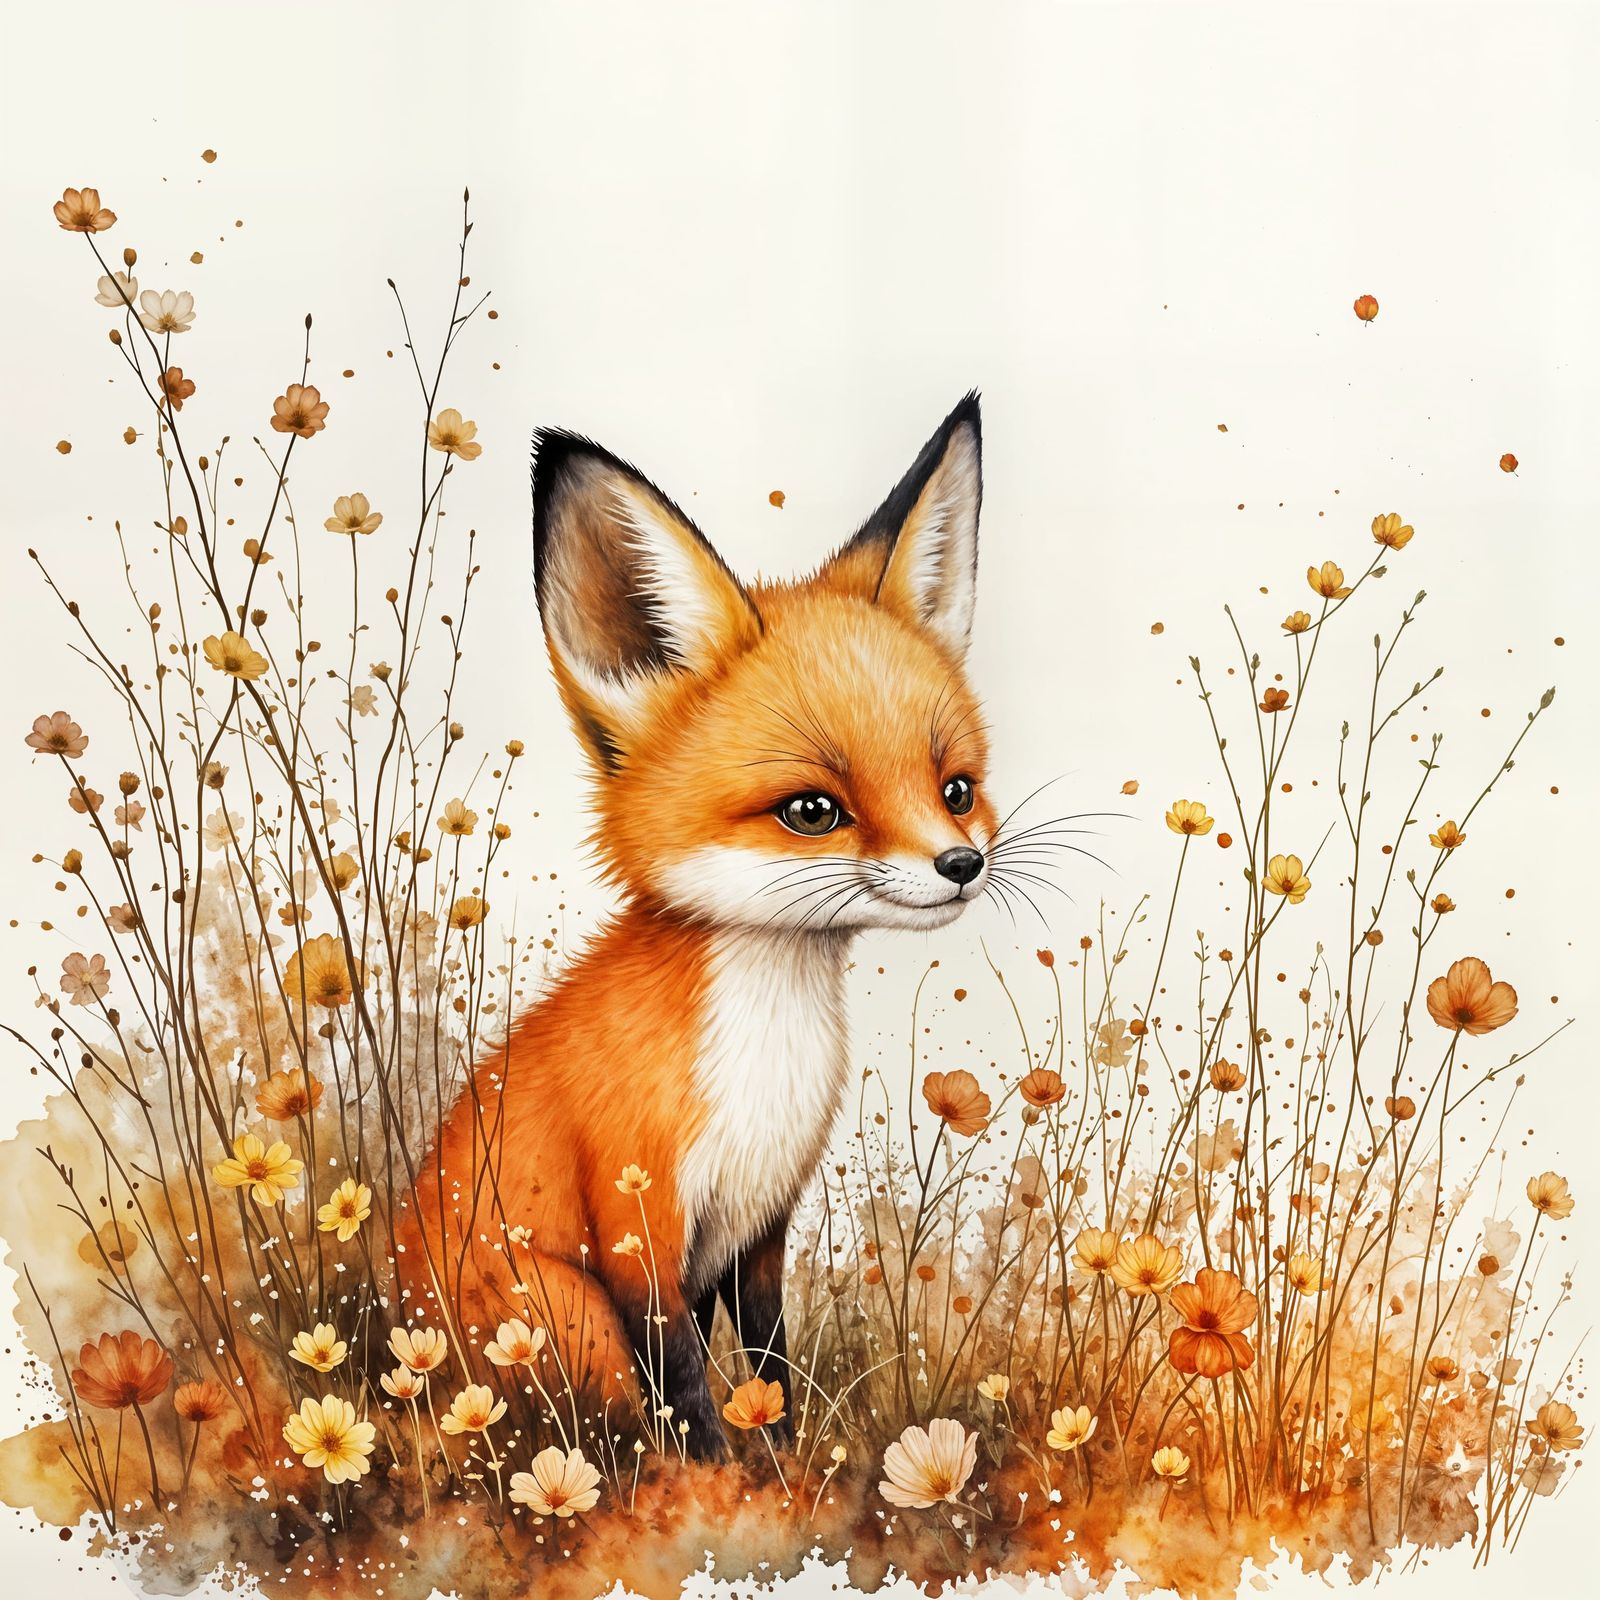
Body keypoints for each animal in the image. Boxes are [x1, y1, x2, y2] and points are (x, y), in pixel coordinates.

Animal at [395, 393, 998, 1459]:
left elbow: (769, 1366)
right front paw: (723, 1482)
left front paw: (790, 1460)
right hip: (564, 1316)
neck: (764, 1053)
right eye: (813, 811)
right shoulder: (636, 1231)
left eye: (956, 791)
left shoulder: (758, 1231)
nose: (961, 864)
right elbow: (685, 1390)